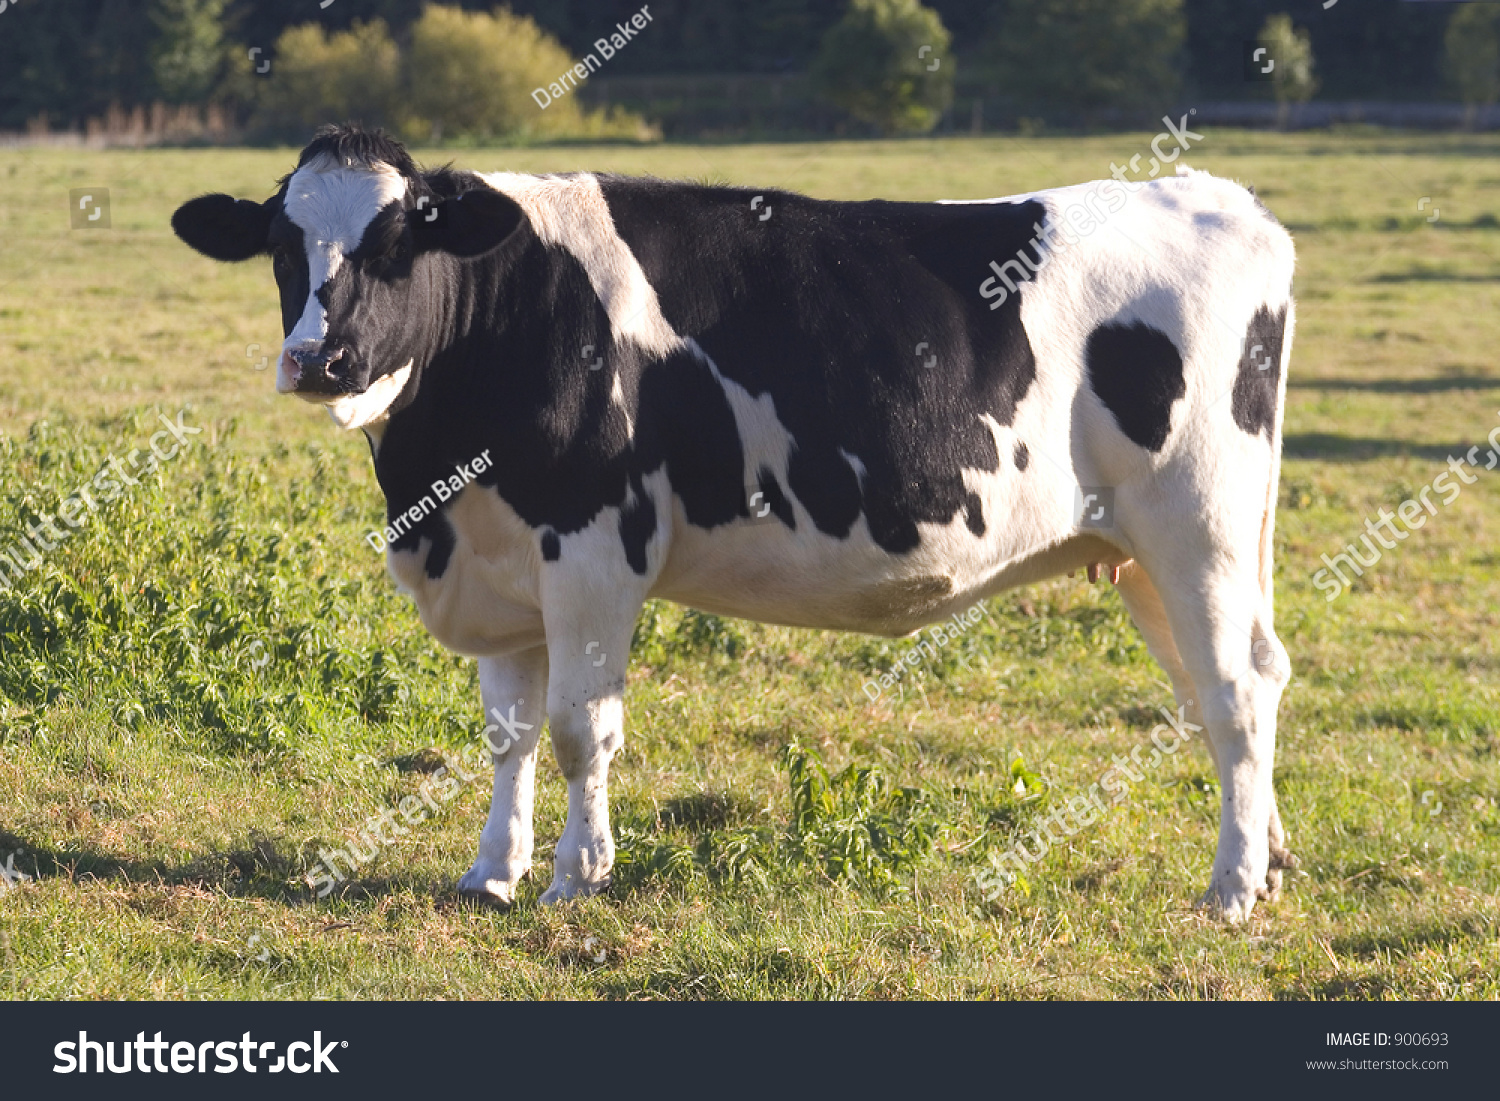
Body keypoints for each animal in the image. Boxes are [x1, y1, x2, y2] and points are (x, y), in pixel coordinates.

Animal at [172, 127, 1302, 924]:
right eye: (281, 246)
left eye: (399, 241)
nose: (322, 360)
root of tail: (1220, 197)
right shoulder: (500, 565)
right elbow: (508, 732)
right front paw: (491, 871)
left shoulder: (592, 550)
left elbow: (580, 727)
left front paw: (576, 876)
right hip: (1146, 552)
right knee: (1221, 685)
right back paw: (1270, 861)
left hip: (1197, 522)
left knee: (1236, 691)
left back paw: (1229, 891)